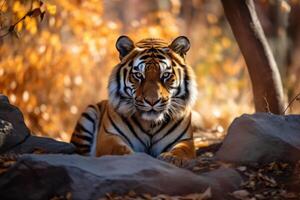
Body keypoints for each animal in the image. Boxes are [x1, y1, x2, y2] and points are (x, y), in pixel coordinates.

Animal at [70, 35, 197, 166]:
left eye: (166, 75)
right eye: (138, 75)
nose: (152, 101)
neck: (151, 123)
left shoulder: (186, 140)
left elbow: (181, 150)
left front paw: (171, 158)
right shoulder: (109, 136)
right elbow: (119, 149)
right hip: (88, 114)